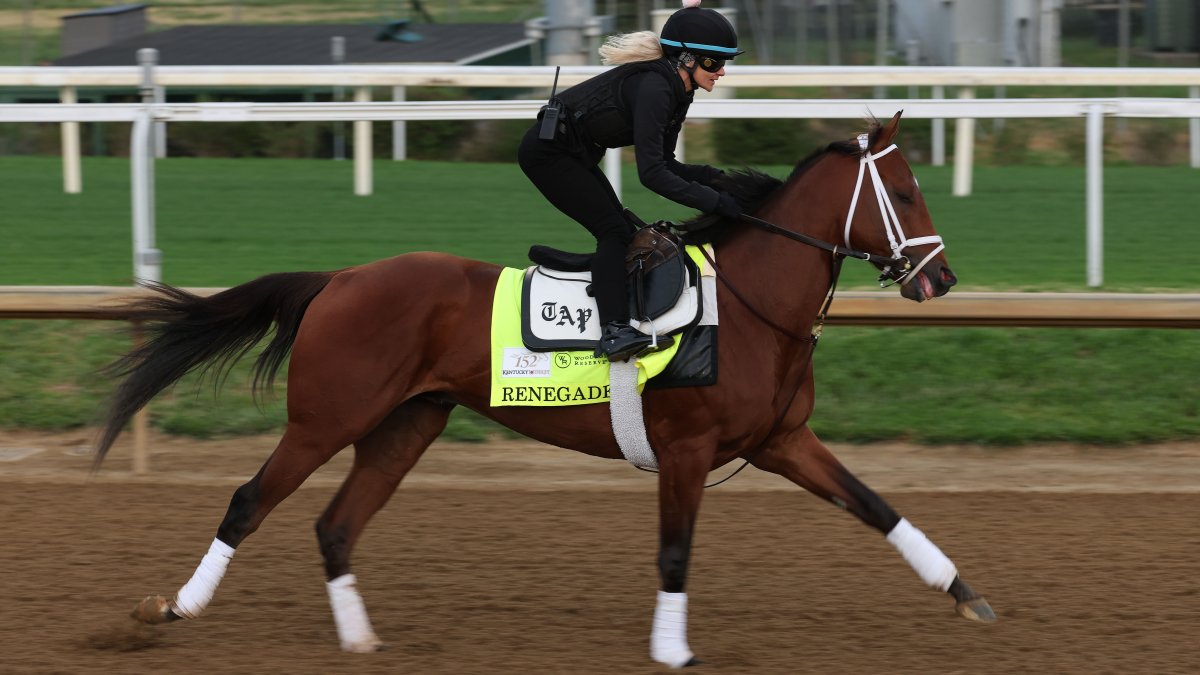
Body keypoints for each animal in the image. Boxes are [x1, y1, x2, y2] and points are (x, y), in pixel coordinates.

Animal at [95, 111, 992, 668]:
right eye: (903, 192)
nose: (941, 277)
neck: (747, 307)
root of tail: (339, 279)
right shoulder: (687, 450)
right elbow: (675, 551)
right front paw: (673, 649)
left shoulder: (780, 440)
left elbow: (877, 506)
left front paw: (966, 593)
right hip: (325, 419)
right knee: (250, 500)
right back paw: (169, 608)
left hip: (406, 425)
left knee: (335, 524)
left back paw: (359, 641)